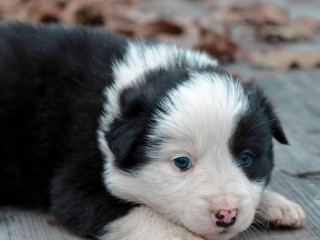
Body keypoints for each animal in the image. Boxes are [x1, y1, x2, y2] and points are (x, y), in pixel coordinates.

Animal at [0, 23, 304, 240]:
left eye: (246, 158)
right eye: (182, 162)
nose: (226, 215)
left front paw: (275, 204)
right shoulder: (76, 185)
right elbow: (148, 216)